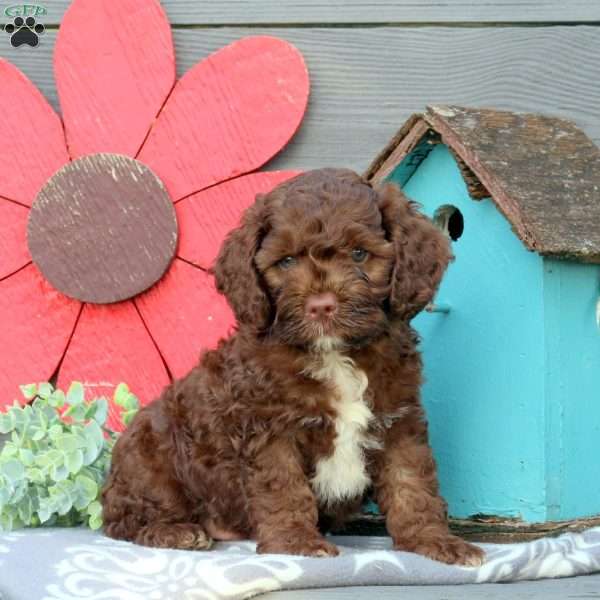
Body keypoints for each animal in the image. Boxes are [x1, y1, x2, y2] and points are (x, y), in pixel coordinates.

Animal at [103, 169, 486, 568]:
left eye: (359, 253)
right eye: (286, 262)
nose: (321, 305)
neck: (333, 353)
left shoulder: (399, 420)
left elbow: (411, 483)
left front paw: (433, 541)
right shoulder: (269, 429)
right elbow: (283, 487)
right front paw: (295, 543)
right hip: (149, 459)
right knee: (122, 521)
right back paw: (175, 532)